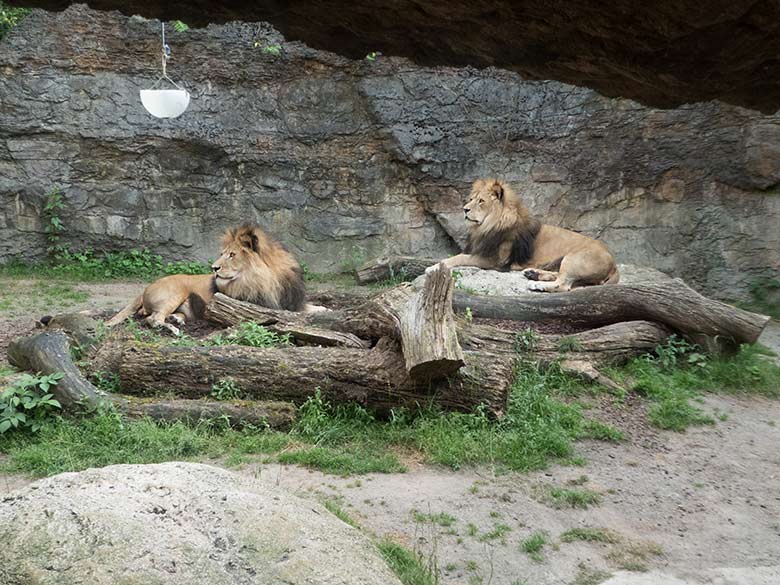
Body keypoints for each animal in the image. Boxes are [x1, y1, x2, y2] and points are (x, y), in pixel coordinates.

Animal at [104, 224, 310, 334]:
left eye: (232, 255)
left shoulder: (294, 303)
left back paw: (176, 320)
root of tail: (145, 288)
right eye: (222, 253)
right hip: (174, 293)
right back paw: (173, 329)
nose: (214, 268)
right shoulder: (255, 304)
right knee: (152, 319)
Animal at [430, 176, 620, 290]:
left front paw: (434, 267)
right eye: (471, 199)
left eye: (481, 201)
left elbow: (459, 257)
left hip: (574, 258)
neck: (487, 226)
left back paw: (537, 285)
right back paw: (534, 274)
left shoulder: (494, 260)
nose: (465, 209)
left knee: (563, 284)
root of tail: (614, 263)